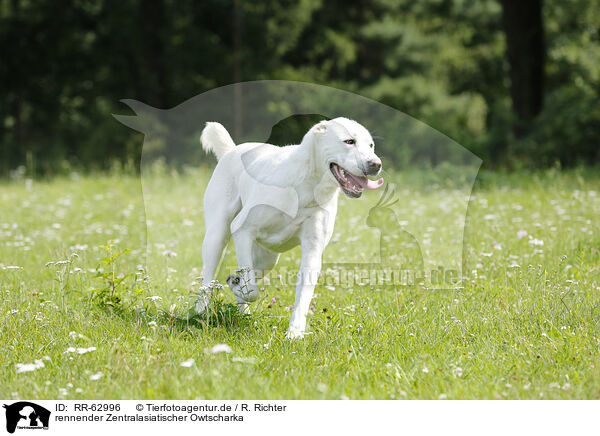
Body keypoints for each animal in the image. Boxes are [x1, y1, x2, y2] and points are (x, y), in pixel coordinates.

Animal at [199, 117, 382, 338]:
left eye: (370, 145)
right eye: (349, 141)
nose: (375, 165)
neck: (308, 187)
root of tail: (232, 150)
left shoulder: (312, 250)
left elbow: (302, 296)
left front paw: (294, 333)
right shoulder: (242, 230)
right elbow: (251, 289)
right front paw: (239, 286)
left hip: (269, 258)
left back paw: (241, 306)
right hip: (217, 236)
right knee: (208, 279)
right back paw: (202, 310)